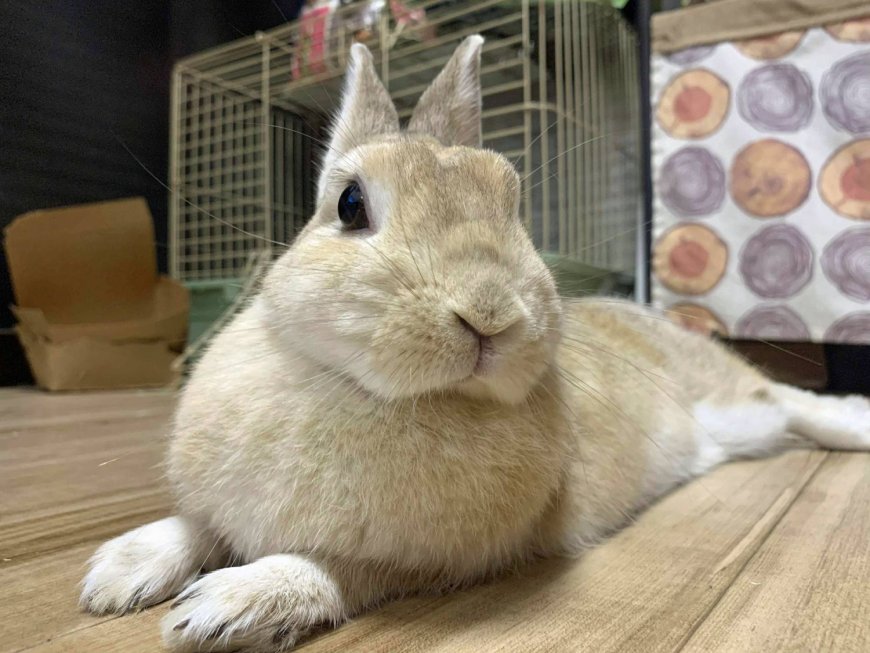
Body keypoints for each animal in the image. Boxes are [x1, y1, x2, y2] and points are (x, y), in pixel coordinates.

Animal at [80, 35, 870, 652]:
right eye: (349, 204)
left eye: (513, 205)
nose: (489, 314)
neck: (361, 387)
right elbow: (198, 524)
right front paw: (116, 573)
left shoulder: (423, 562)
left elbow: (331, 570)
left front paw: (225, 605)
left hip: (736, 398)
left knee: (792, 399)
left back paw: (855, 422)